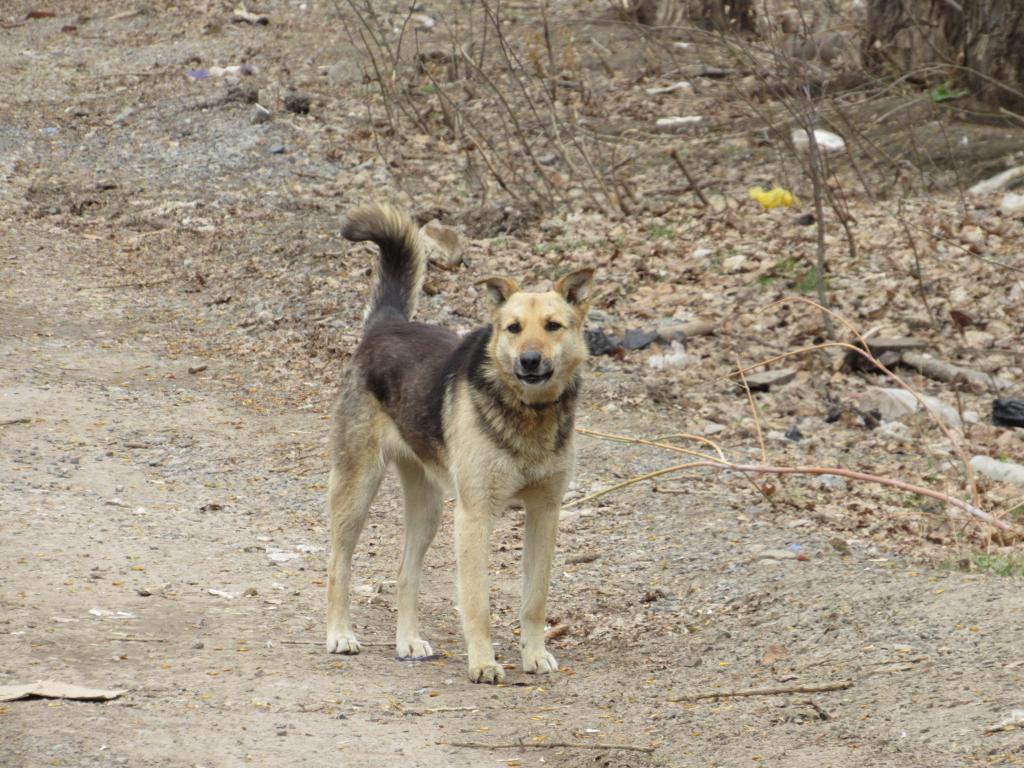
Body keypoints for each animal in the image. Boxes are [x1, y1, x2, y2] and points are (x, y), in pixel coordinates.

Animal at [319, 204, 593, 684]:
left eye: (553, 327)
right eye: (513, 328)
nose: (530, 360)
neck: (528, 412)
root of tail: (387, 324)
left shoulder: (545, 513)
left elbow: (535, 599)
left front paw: (535, 654)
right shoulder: (474, 517)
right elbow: (478, 603)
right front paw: (483, 662)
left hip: (428, 508)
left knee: (405, 573)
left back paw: (408, 642)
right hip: (356, 490)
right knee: (339, 565)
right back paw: (340, 634)